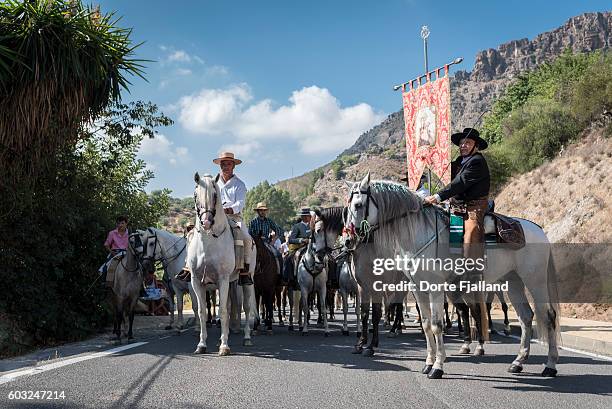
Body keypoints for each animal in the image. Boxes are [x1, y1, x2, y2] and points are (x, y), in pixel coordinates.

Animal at [186, 172, 253, 354]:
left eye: (215, 195)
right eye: (195, 195)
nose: (206, 222)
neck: (209, 242)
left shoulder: (222, 279)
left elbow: (222, 310)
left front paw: (224, 346)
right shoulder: (197, 281)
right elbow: (202, 311)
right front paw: (202, 344)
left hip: (245, 282)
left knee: (247, 307)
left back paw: (246, 338)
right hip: (230, 282)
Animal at [344, 174, 560, 378]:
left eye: (358, 205)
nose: (348, 239)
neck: (419, 233)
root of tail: (537, 229)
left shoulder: (435, 287)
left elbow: (437, 325)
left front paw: (437, 367)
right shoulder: (418, 289)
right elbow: (426, 324)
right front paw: (428, 363)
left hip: (535, 280)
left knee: (548, 316)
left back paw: (550, 366)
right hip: (512, 281)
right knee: (526, 317)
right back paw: (518, 362)